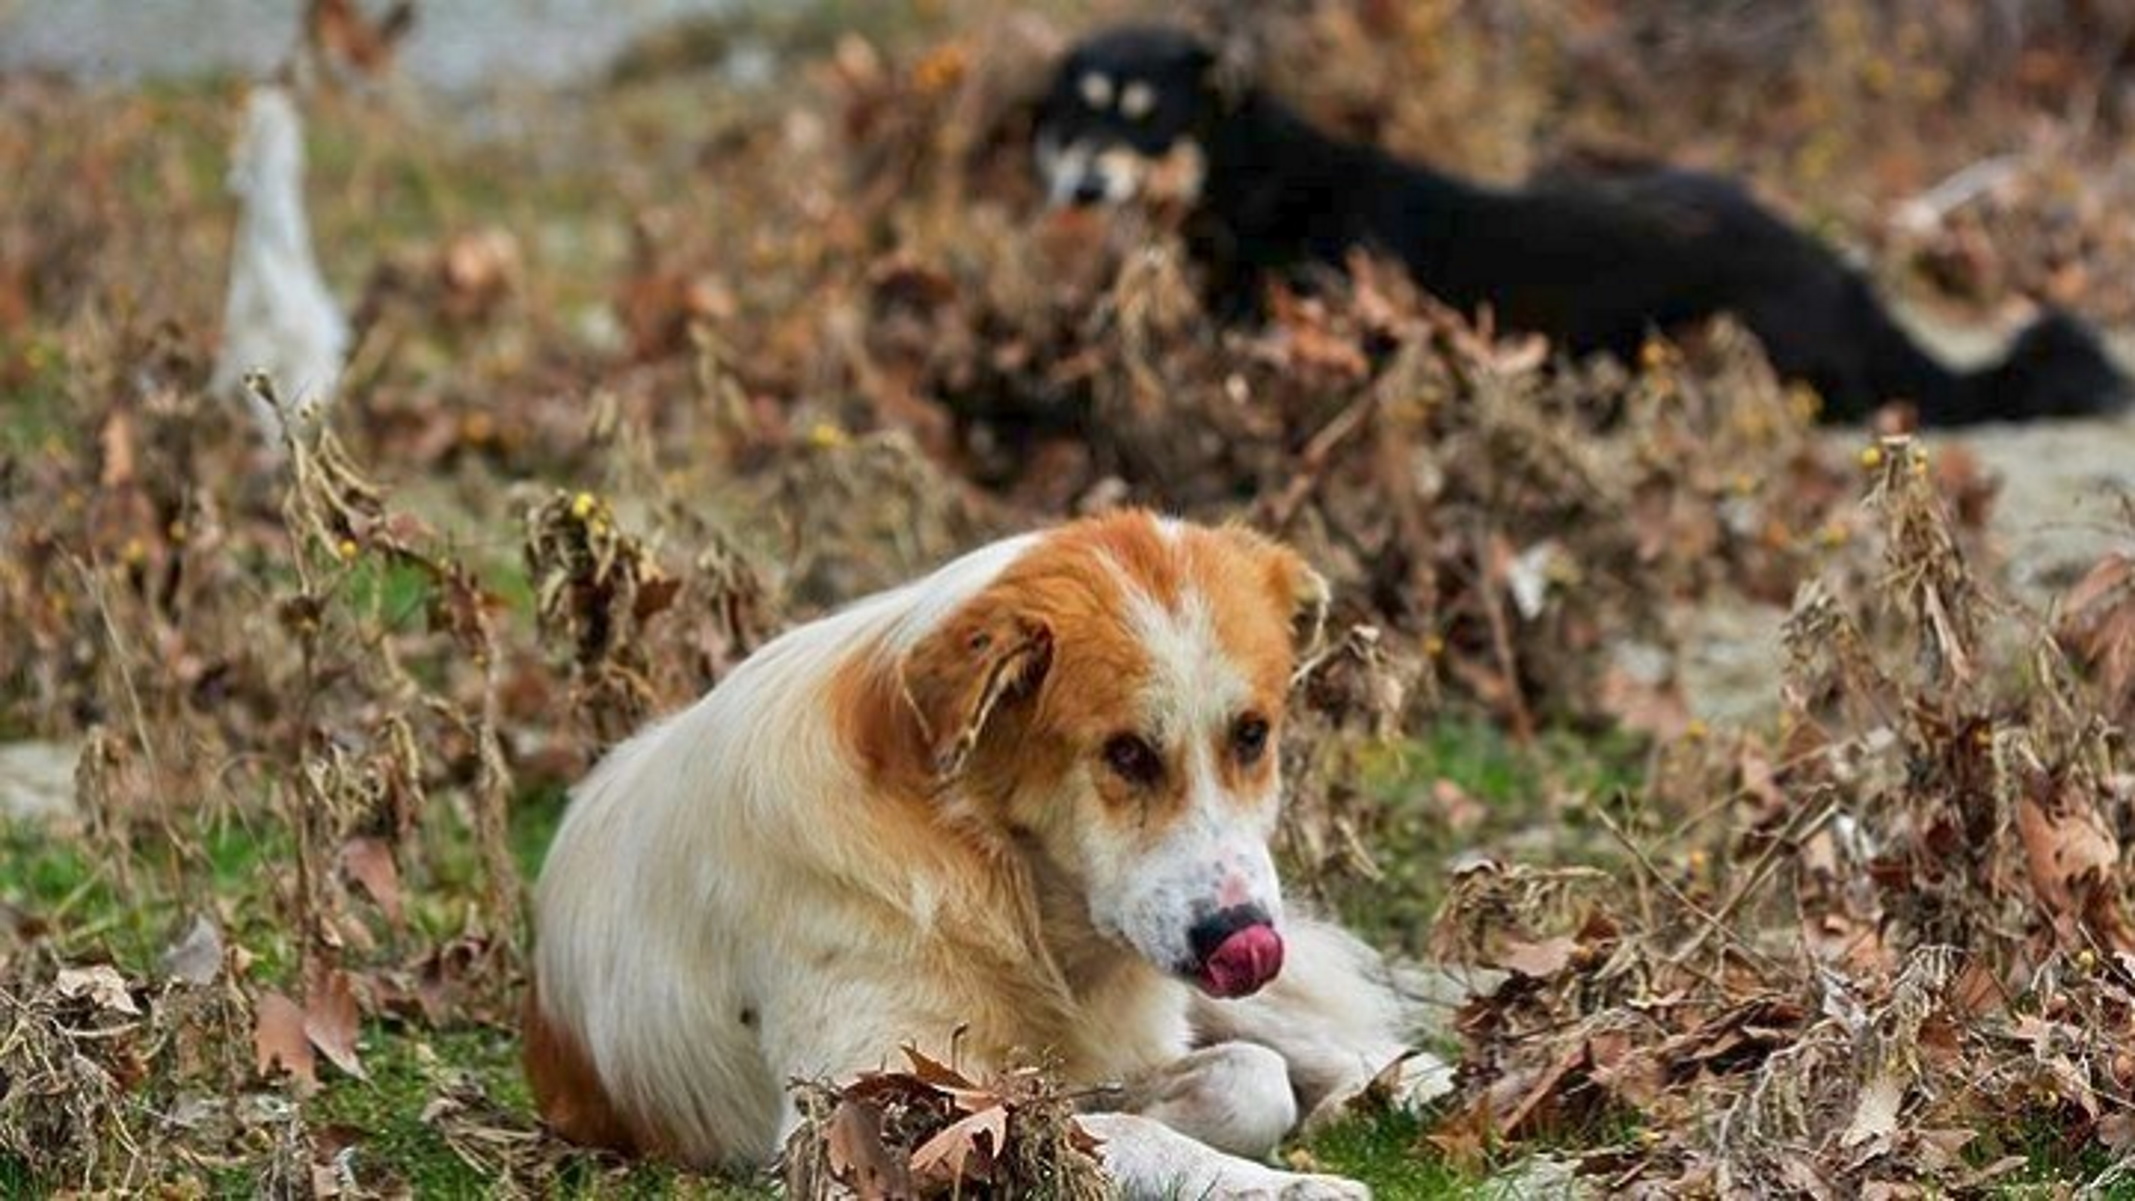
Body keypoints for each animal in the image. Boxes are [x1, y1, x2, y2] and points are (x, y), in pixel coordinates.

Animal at [525, 511, 1443, 1194]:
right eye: (1125, 753)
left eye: (1250, 735)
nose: (1240, 936)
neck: (982, 864)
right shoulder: (856, 1123)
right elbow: (1121, 1125)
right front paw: (1277, 1180)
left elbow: (1242, 1078)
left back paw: (1401, 1077)